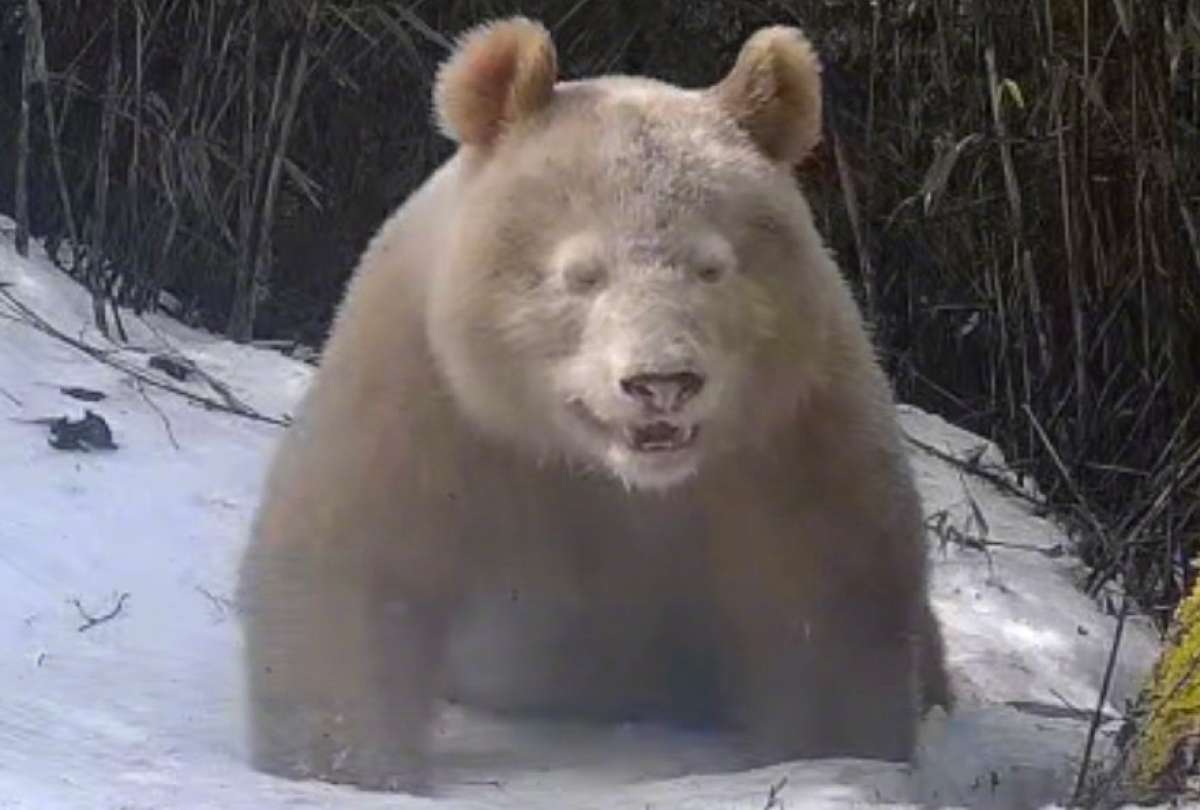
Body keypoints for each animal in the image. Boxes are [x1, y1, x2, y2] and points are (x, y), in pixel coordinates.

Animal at [235, 16, 952, 795]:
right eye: (582, 273)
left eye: (711, 267)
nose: (661, 381)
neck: (611, 468)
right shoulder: (433, 394)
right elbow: (357, 568)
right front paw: (345, 770)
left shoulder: (789, 432)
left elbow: (826, 606)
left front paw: (828, 761)